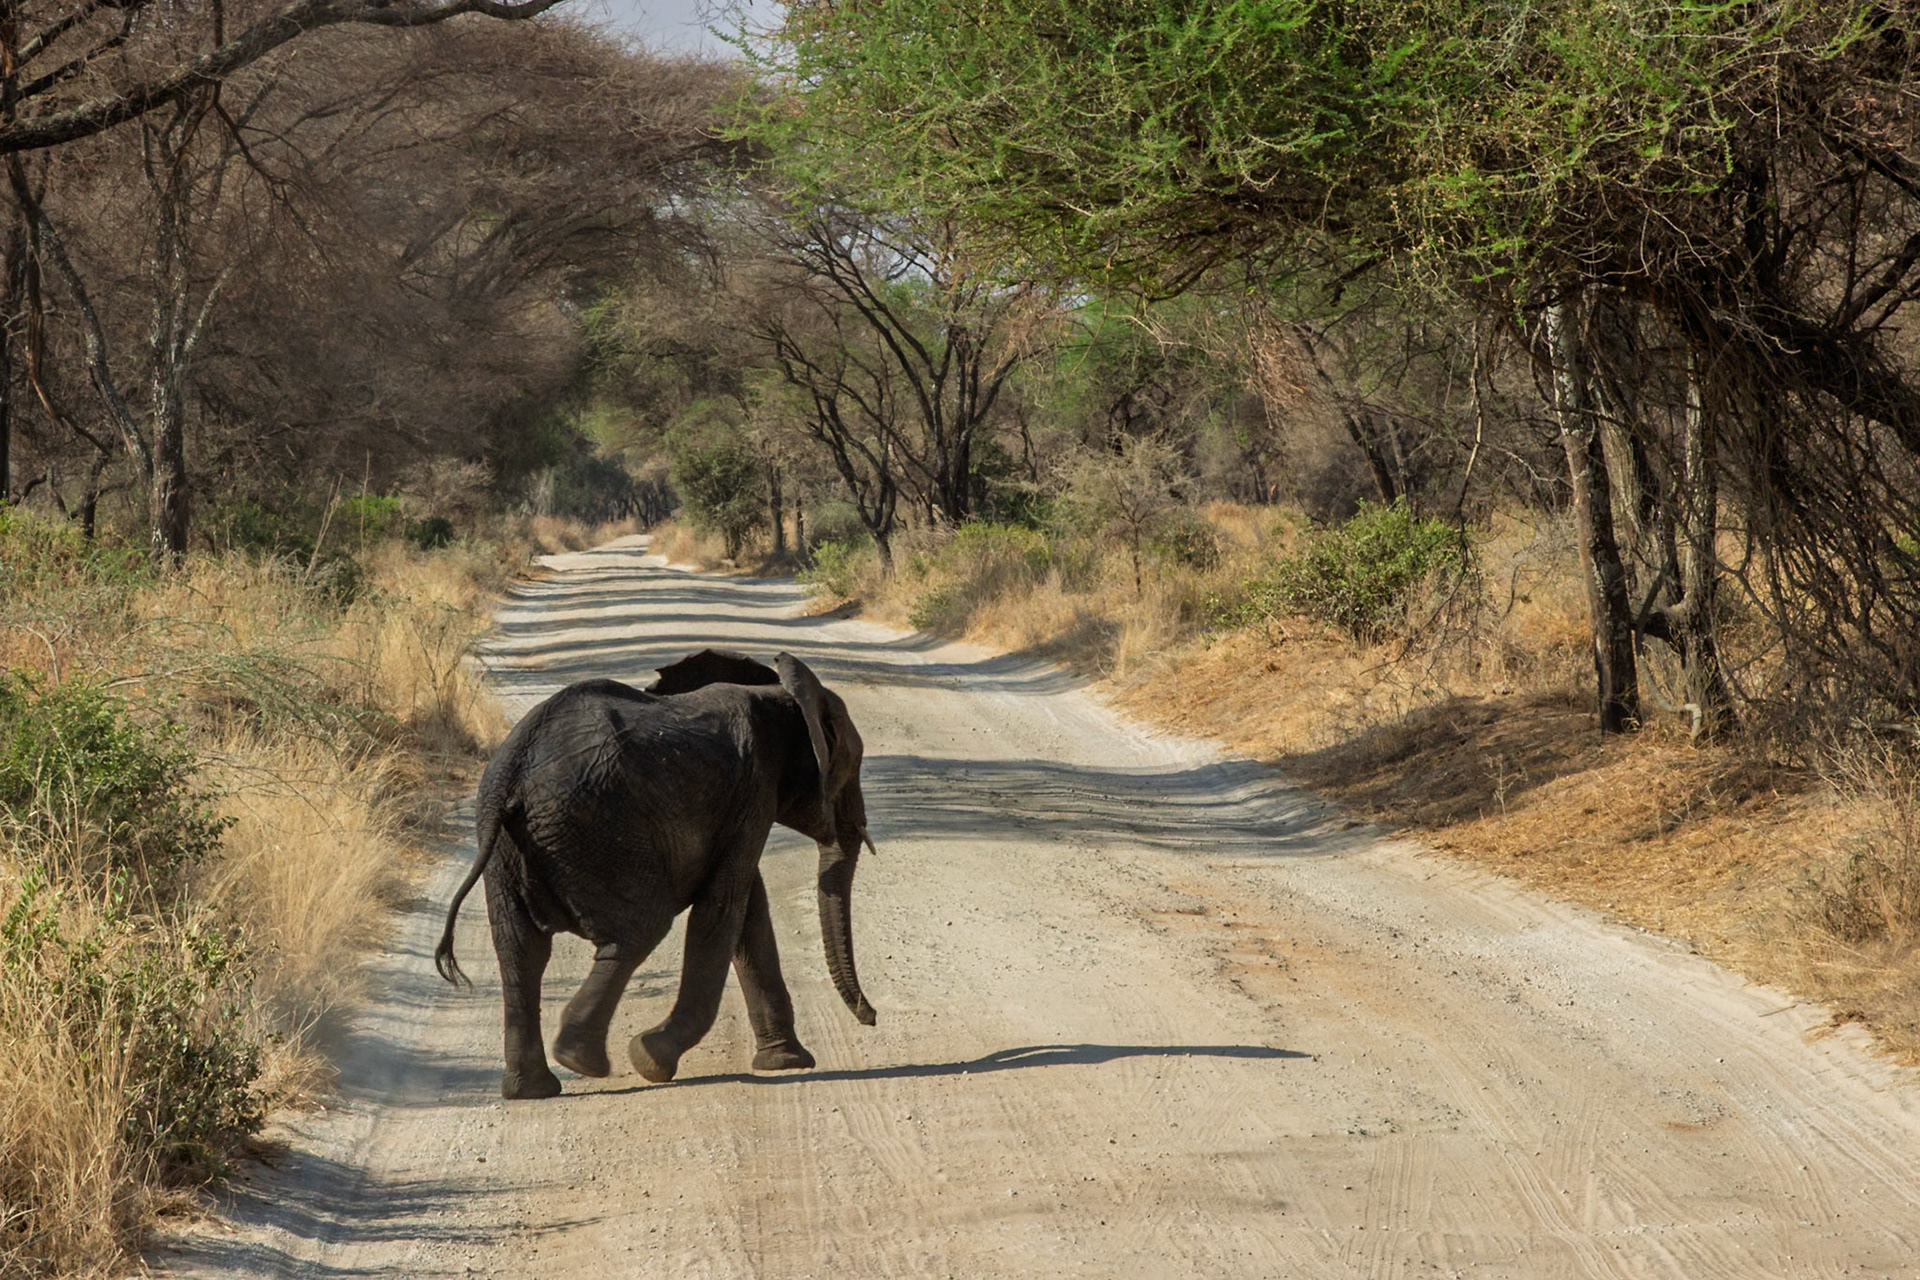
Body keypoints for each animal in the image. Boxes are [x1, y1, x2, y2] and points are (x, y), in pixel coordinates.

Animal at [434, 648, 877, 1099]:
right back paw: (582, 1061)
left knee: (520, 950)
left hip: (508, 848)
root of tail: (512, 769)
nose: (871, 1016)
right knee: (638, 930)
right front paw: (653, 1059)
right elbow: (723, 909)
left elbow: (748, 911)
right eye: (851, 765)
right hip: (599, 826)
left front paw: (787, 1062)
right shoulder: (753, 790)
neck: (781, 693)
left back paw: (533, 1088)